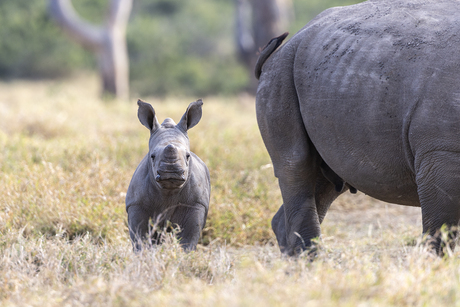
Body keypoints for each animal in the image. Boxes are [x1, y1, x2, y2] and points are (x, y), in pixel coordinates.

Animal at [126, 100, 211, 251]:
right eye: (152, 156)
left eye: (188, 156)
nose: (171, 172)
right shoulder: (136, 203)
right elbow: (139, 236)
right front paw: (143, 254)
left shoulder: (195, 204)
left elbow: (189, 238)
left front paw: (185, 255)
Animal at [256, 0, 460, 258]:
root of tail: (295, 37)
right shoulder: (441, 152)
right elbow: (442, 230)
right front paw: (435, 265)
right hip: (282, 73)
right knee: (296, 166)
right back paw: (312, 264)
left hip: (328, 68)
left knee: (326, 178)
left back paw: (297, 264)